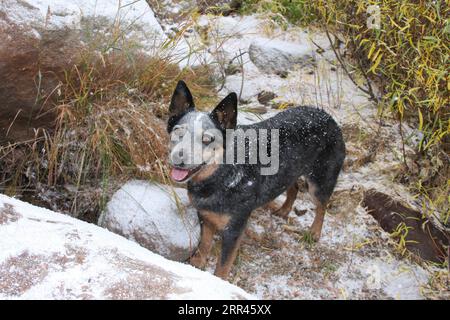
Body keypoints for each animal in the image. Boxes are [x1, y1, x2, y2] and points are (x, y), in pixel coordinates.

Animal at [167, 80, 346, 280]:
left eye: (207, 139)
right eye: (177, 133)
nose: (178, 158)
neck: (224, 173)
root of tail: (326, 116)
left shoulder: (234, 229)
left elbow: (223, 265)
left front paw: (218, 281)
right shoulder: (205, 215)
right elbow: (204, 244)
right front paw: (197, 265)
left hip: (319, 182)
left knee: (322, 206)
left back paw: (314, 232)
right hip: (290, 170)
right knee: (293, 188)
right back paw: (284, 210)